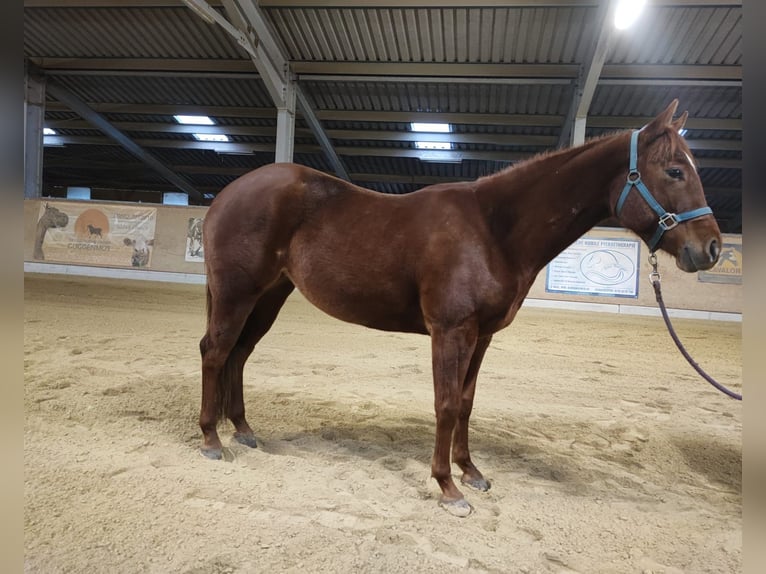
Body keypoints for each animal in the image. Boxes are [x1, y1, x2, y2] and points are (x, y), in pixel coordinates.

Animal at [200, 101, 728, 520]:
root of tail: (227, 193)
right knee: (215, 351)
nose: (712, 248)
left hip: (269, 295)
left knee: (239, 353)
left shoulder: (482, 335)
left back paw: (243, 430)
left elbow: (468, 403)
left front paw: (471, 471)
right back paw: (211, 440)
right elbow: (447, 403)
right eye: (675, 171)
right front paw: (448, 488)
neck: (493, 230)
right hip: (237, 292)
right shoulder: (450, 330)